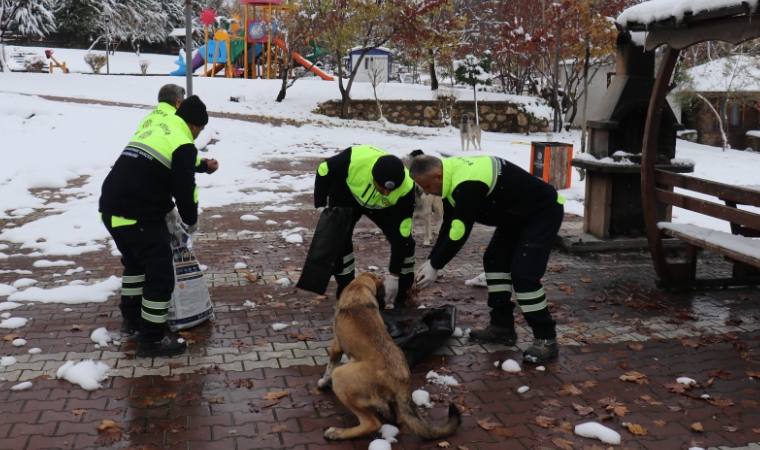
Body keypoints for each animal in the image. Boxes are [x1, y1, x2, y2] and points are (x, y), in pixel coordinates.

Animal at [316, 270, 460, 440]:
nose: (384, 305)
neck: (358, 290)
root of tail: (402, 379)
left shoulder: (336, 345)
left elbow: (330, 366)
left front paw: (323, 382)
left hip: (341, 376)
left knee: (372, 423)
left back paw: (338, 433)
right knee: (399, 418)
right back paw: (384, 410)